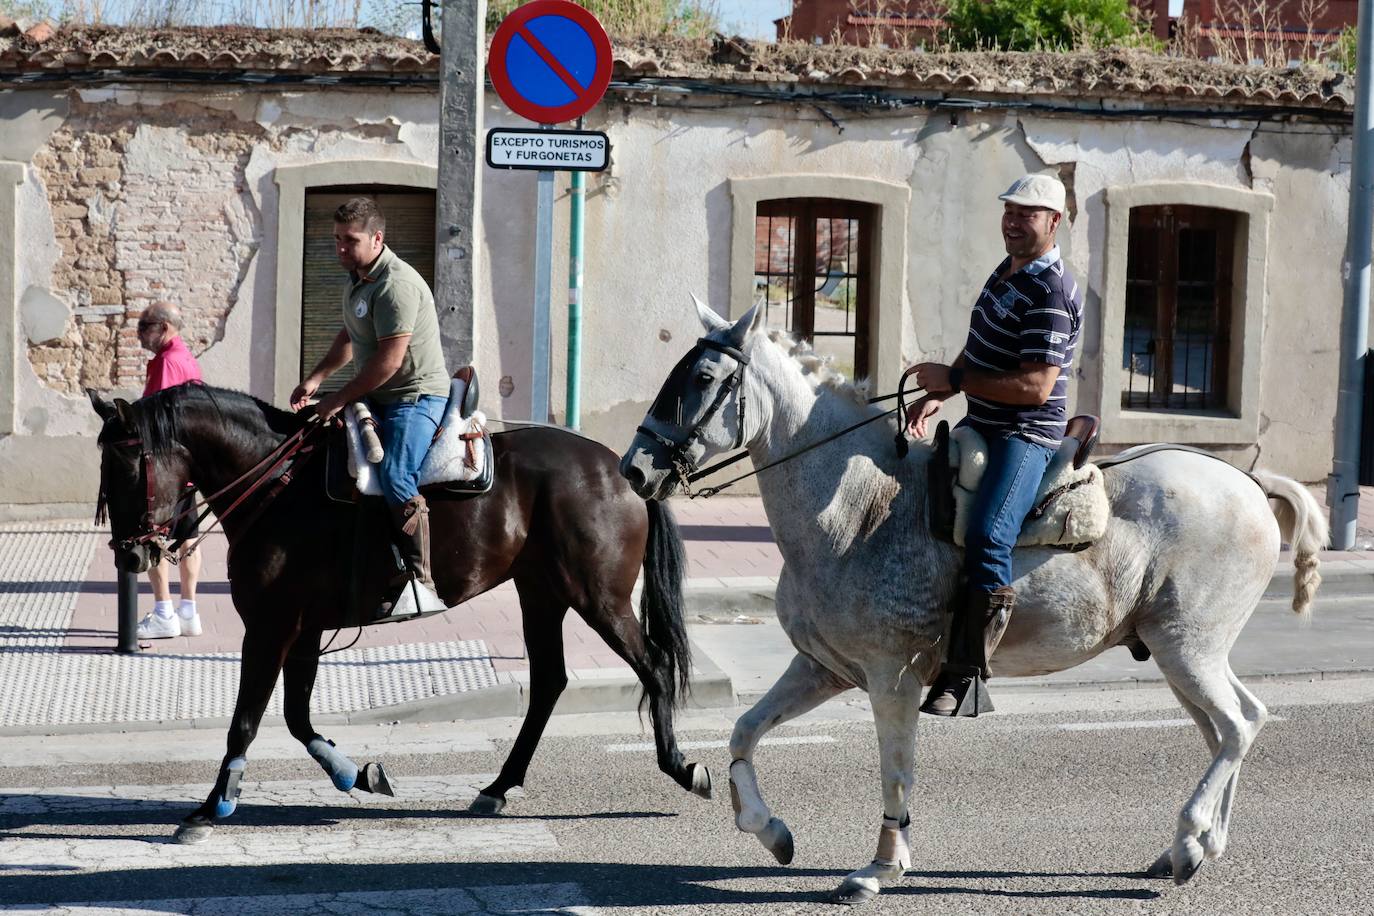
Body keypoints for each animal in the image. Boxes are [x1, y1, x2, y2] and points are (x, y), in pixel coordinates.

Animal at [88, 381, 708, 845]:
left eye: (126, 463)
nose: (130, 555)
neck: (277, 487)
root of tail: (623, 473)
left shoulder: (270, 625)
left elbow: (247, 719)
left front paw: (212, 806)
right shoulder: (304, 628)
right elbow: (295, 716)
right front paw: (355, 772)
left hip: (597, 597)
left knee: (653, 666)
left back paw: (682, 766)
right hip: (542, 593)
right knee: (550, 681)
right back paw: (499, 786)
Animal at [618, 299, 1324, 900]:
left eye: (703, 377)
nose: (634, 469)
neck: (860, 506)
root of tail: (1249, 483)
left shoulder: (892, 679)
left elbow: (895, 771)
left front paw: (879, 869)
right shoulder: (821, 668)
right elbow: (744, 731)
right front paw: (771, 831)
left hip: (1187, 648)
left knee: (1236, 727)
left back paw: (1188, 840)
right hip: (1185, 653)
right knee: (1233, 725)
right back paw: (1199, 846)